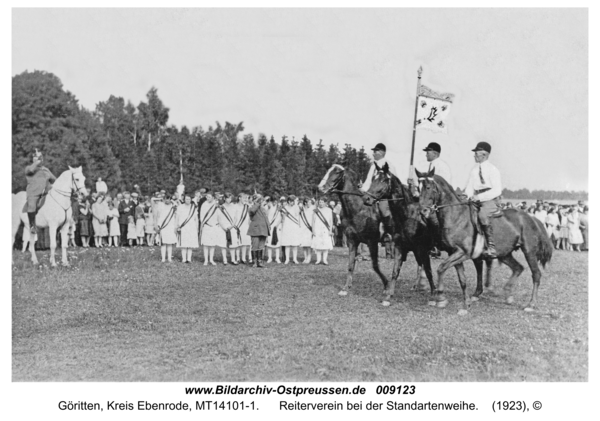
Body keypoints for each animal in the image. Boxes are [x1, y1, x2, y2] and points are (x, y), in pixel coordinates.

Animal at [316, 164, 392, 302]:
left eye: (337, 172)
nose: (320, 187)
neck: (358, 209)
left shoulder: (372, 242)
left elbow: (375, 266)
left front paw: (387, 286)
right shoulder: (352, 241)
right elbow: (351, 264)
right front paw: (346, 288)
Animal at [360, 162, 436, 304]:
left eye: (384, 180)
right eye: (373, 179)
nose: (366, 198)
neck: (406, 216)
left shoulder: (422, 249)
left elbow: (428, 270)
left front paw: (434, 295)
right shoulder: (400, 247)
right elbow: (395, 270)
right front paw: (388, 295)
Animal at [414, 169, 552, 314]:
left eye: (428, 187)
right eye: (418, 188)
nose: (422, 211)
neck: (457, 217)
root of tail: (532, 218)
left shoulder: (463, 253)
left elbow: (441, 268)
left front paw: (441, 298)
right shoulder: (454, 253)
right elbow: (461, 279)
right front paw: (466, 305)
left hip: (529, 252)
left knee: (536, 274)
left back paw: (531, 304)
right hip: (504, 254)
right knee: (518, 268)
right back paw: (508, 294)